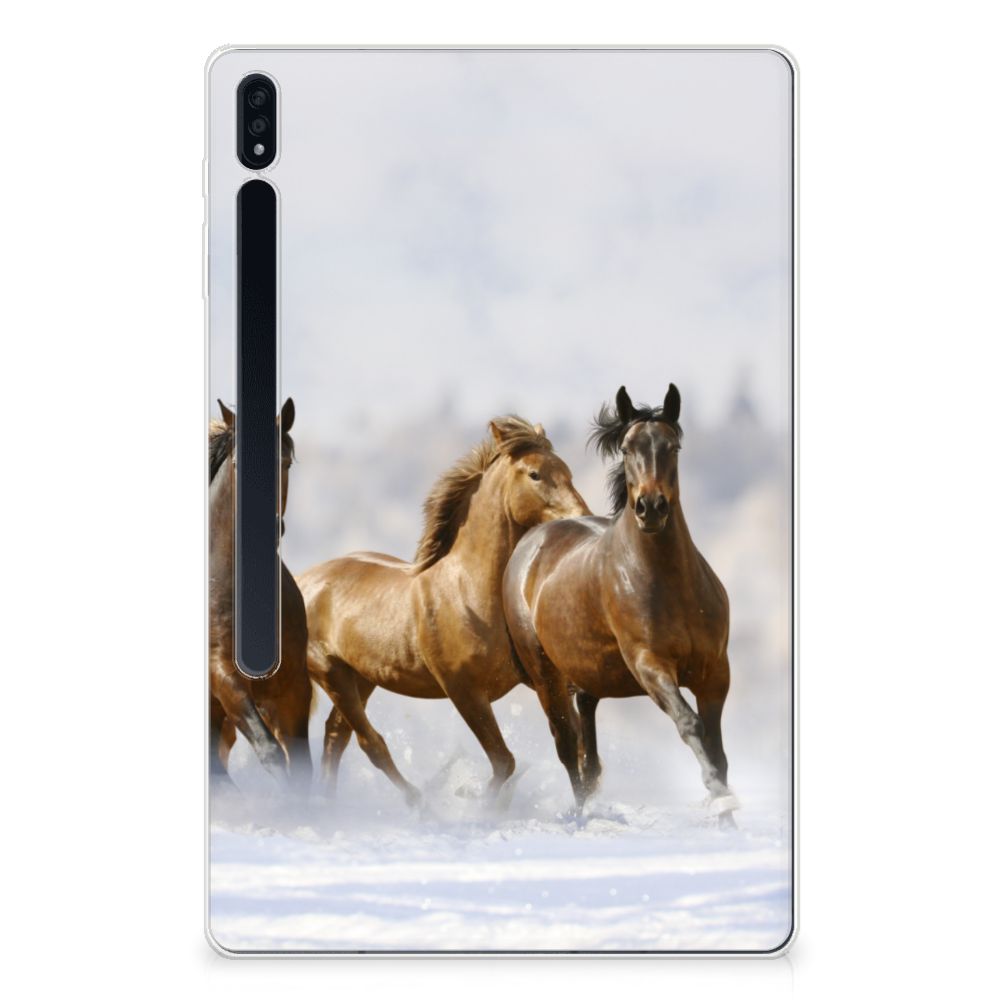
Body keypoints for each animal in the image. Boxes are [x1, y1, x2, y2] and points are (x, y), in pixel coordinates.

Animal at [208, 398, 313, 791]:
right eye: (239, 463)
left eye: (285, 462)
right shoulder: (222, 675)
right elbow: (270, 752)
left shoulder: (294, 685)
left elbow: (302, 766)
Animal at [298, 416, 589, 805]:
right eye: (535, 474)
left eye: (567, 471)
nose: (583, 518)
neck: (468, 592)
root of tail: (301, 582)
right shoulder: (463, 690)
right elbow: (504, 761)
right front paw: (478, 803)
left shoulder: (543, 679)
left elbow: (569, 743)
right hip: (332, 674)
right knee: (369, 743)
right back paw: (419, 802)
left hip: (361, 677)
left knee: (335, 737)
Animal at [502, 385, 738, 824]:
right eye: (628, 448)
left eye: (673, 446)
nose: (651, 507)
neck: (670, 585)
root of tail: (531, 541)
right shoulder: (650, 665)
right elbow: (690, 725)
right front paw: (720, 799)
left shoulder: (715, 672)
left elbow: (717, 748)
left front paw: (728, 818)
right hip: (546, 676)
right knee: (567, 746)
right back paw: (581, 817)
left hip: (589, 676)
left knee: (587, 751)